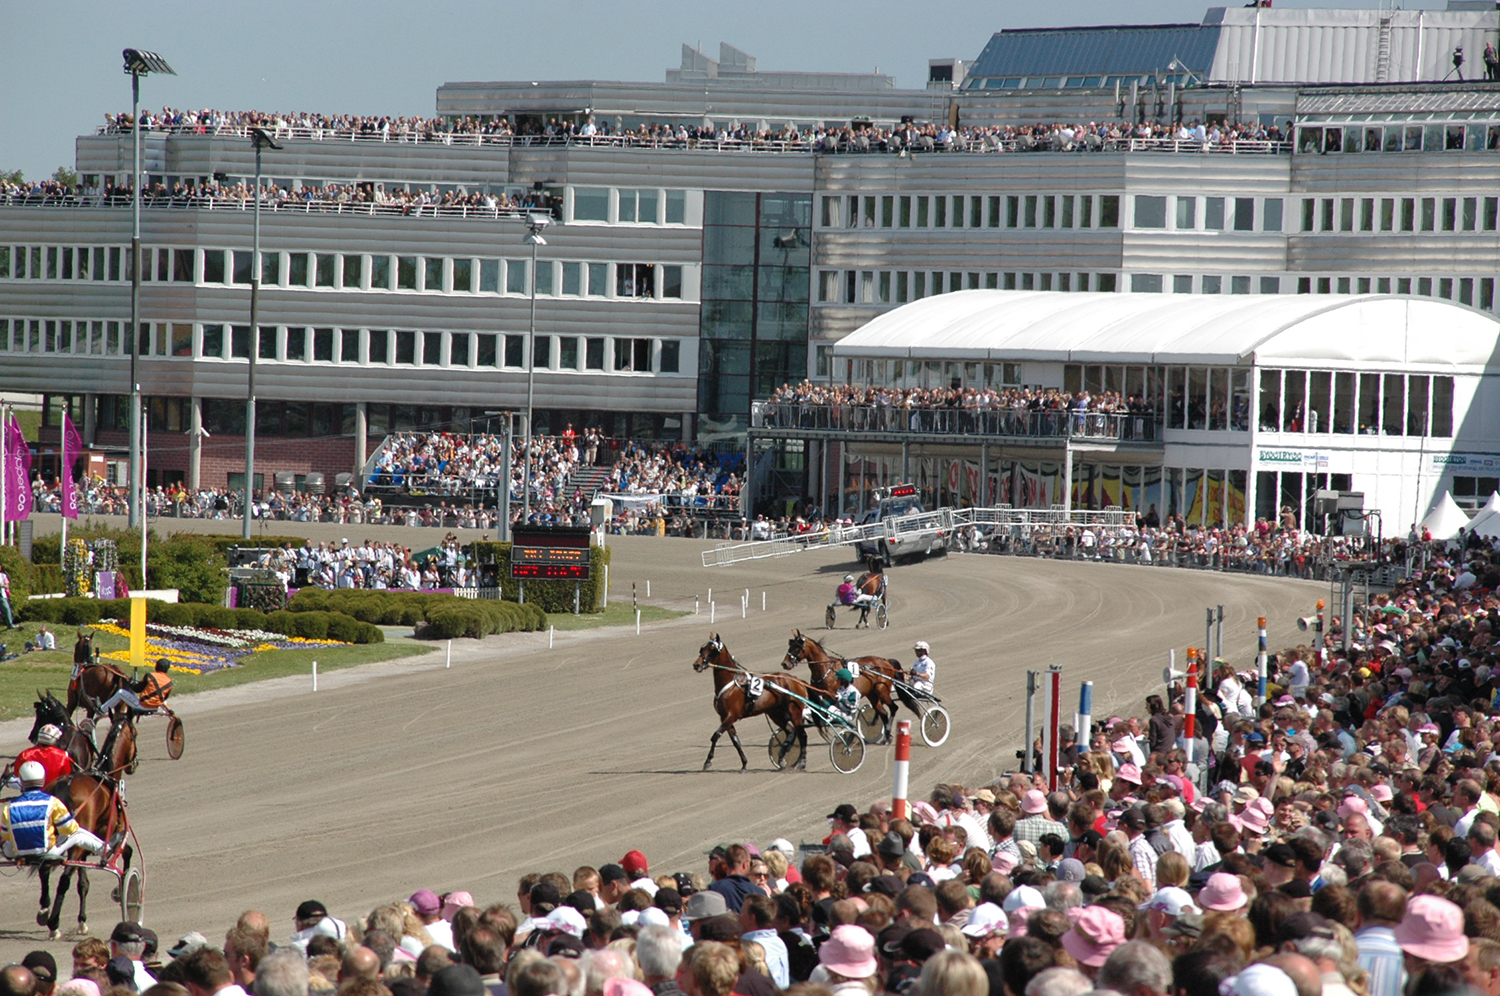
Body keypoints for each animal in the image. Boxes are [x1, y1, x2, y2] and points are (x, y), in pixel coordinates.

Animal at [37, 768, 130, 942]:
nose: (133, 766)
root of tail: (65, 784)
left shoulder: (83, 851)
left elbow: (83, 884)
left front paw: (82, 922)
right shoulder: (111, 834)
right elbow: (127, 852)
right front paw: (119, 891)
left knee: (44, 869)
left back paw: (44, 910)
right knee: (64, 879)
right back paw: (54, 924)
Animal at [696, 633, 816, 774]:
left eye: (712, 649)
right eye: (702, 648)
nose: (697, 664)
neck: (731, 683)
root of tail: (798, 681)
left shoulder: (731, 716)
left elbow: (715, 736)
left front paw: (707, 762)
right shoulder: (725, 717)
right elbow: (736, 742)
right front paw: (744, 764)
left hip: (794, 712)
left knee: (802, 735)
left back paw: (801, 763)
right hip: (775, 713)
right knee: (791, 731)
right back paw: (782, 756)